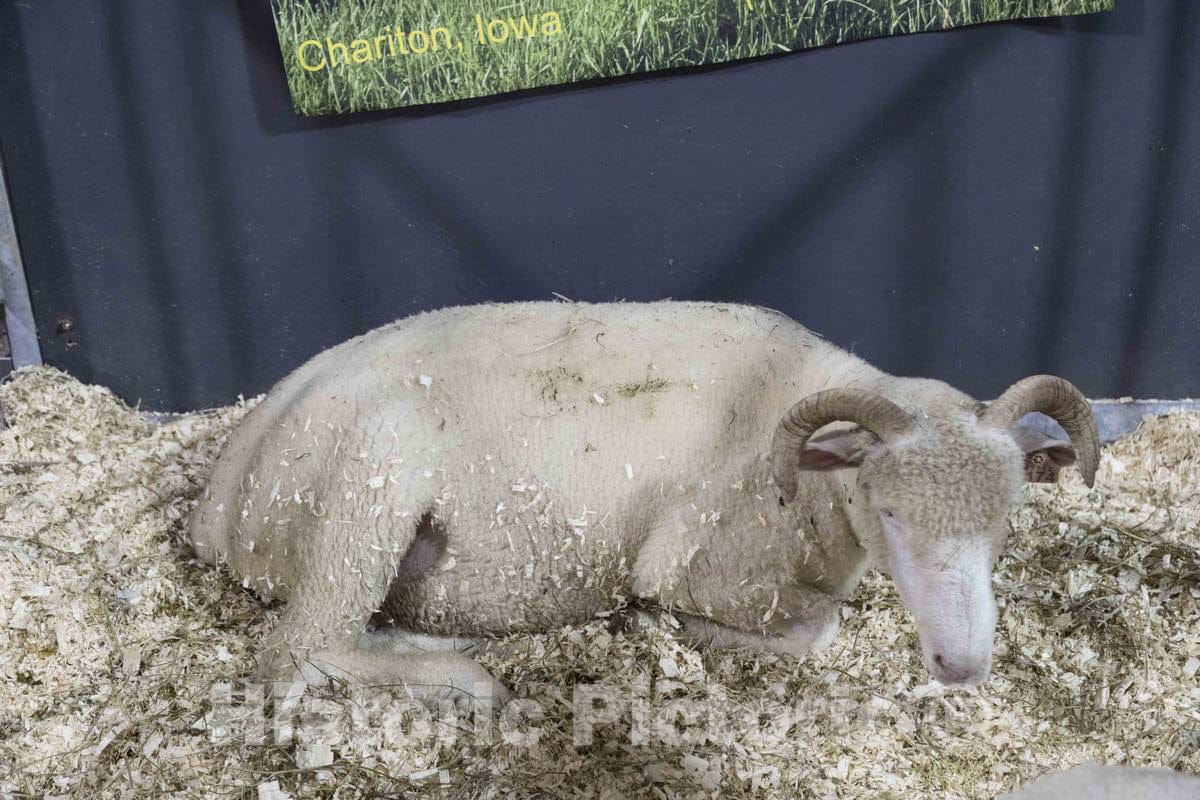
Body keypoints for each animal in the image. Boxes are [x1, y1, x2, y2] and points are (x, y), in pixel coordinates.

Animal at [187, 302, 1099, 699]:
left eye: (1006, 523)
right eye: (890, 512)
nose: (964, 666)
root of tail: (221, 495)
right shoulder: (701, 561)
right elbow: (815, 630)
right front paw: (667, 625)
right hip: (369, 483)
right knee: (297, 651)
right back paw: (461, 674)